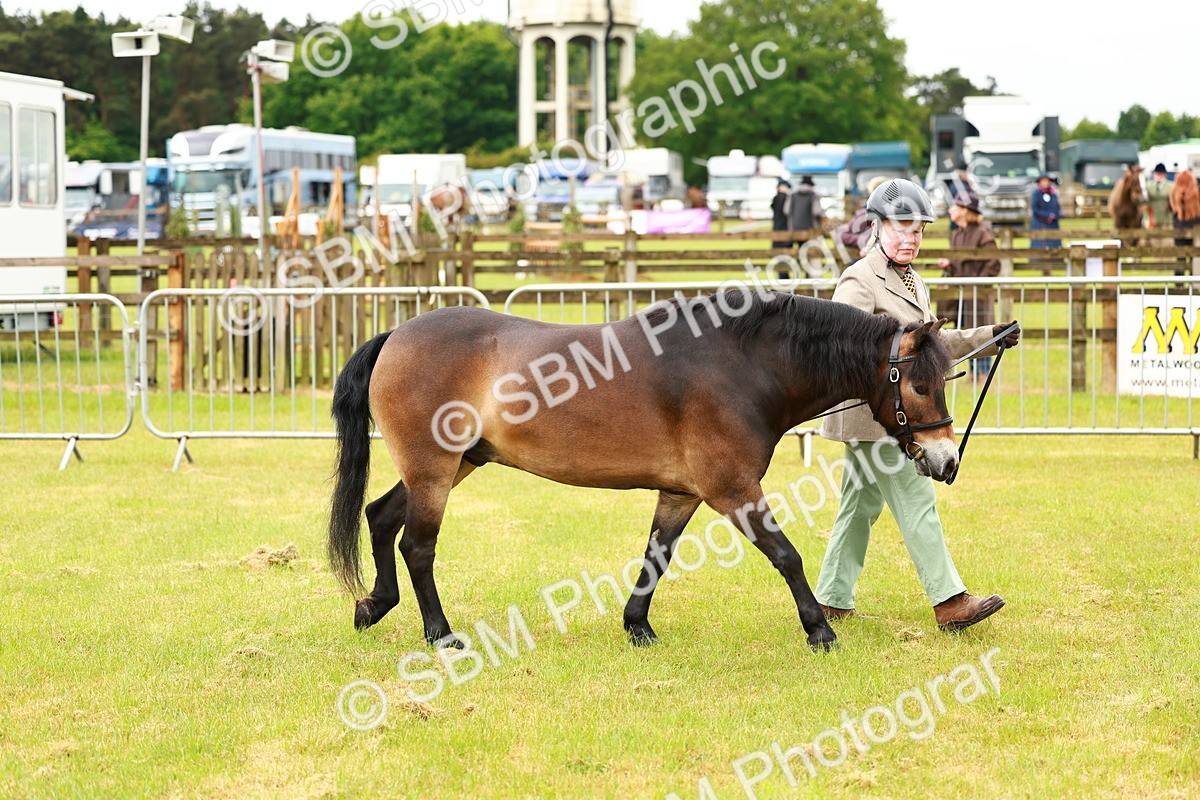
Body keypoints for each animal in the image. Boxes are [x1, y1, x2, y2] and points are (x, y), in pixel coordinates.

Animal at [326, 291, 960, 652]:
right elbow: (786, 555)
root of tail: (397, 334)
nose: (947, 460)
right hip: (434, 470)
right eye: (918, 385)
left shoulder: (681, 493)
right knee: (417, 546)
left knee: (379, 517)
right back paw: (440, 634)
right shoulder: (733, 489)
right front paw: (819, 631)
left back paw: (373, 605)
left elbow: (656, 556)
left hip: (455, 464)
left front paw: (637, 626)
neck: (743, 362)